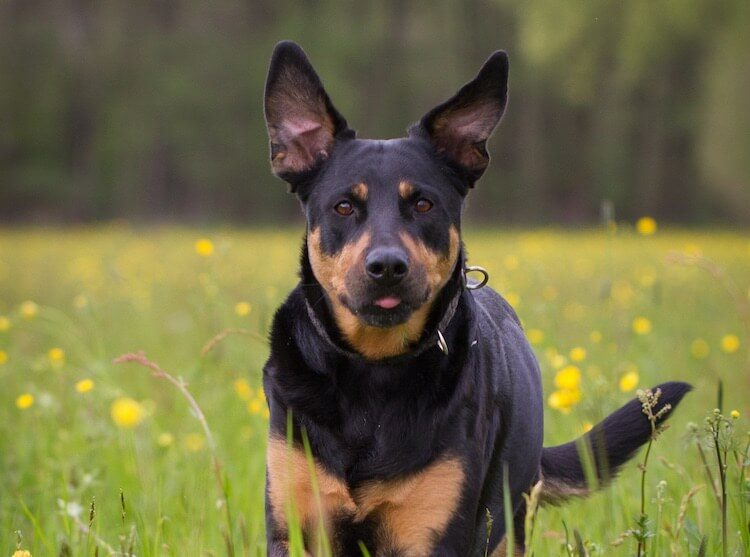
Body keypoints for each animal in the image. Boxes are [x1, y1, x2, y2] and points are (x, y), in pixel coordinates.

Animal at [262, 40, 692, 556]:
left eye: (423, 203)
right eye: (344, 206)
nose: (386, 267)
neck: (373, 371)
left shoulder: (435, 530)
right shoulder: (295, 523)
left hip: (507, 519)